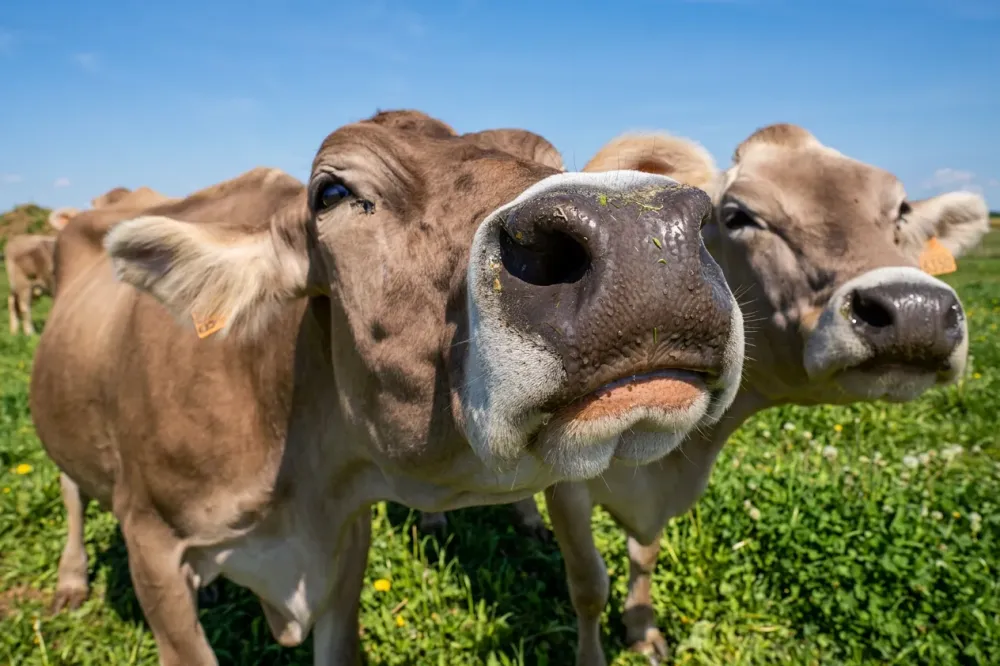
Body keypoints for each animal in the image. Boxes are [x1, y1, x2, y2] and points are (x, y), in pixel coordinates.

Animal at [30, 109, 747, 665]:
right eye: (331, 193)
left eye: (551, 159)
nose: (637, 232)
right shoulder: (151, 545)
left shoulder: (346, 543)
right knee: (69, 487)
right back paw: (69, 580)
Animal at [502, 123, 986, 666]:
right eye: (738, 217)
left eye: (900, 211)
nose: (915, 309)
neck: (665, 462)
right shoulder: (568, 489)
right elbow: (588, 586)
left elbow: (644, 557)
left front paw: (643, 631)